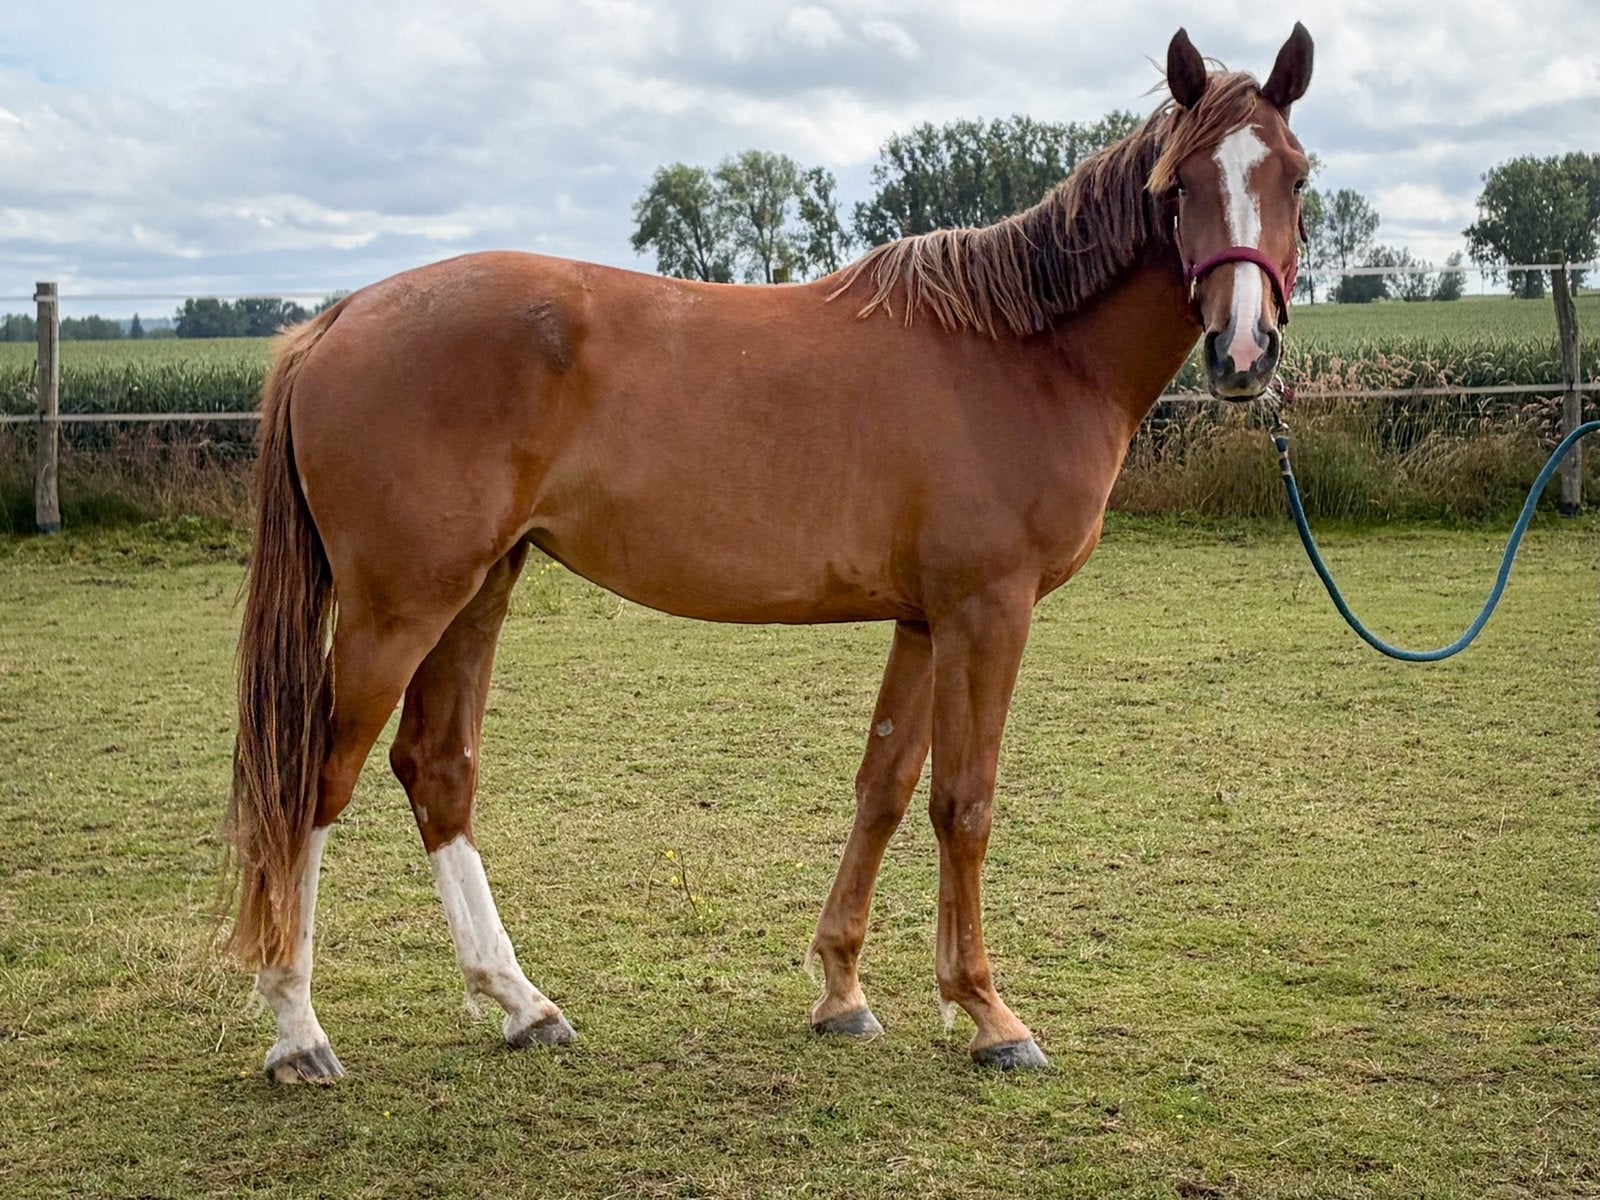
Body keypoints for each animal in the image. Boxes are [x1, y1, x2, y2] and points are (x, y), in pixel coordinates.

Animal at [224, 24, 1315, 1081]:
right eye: (1179, 185)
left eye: (1296, 178)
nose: (1242, 353)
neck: (1025, 353)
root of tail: (336, 320)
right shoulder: (987, 609)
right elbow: (964, 802)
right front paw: (988, 1015)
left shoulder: (925, 619)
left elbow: (884, 789)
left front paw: (841, 992)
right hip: (399, 608)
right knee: (314, 780)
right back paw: (297, 1029)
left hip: (476, 590)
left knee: (436, 769)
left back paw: (522, 1005)